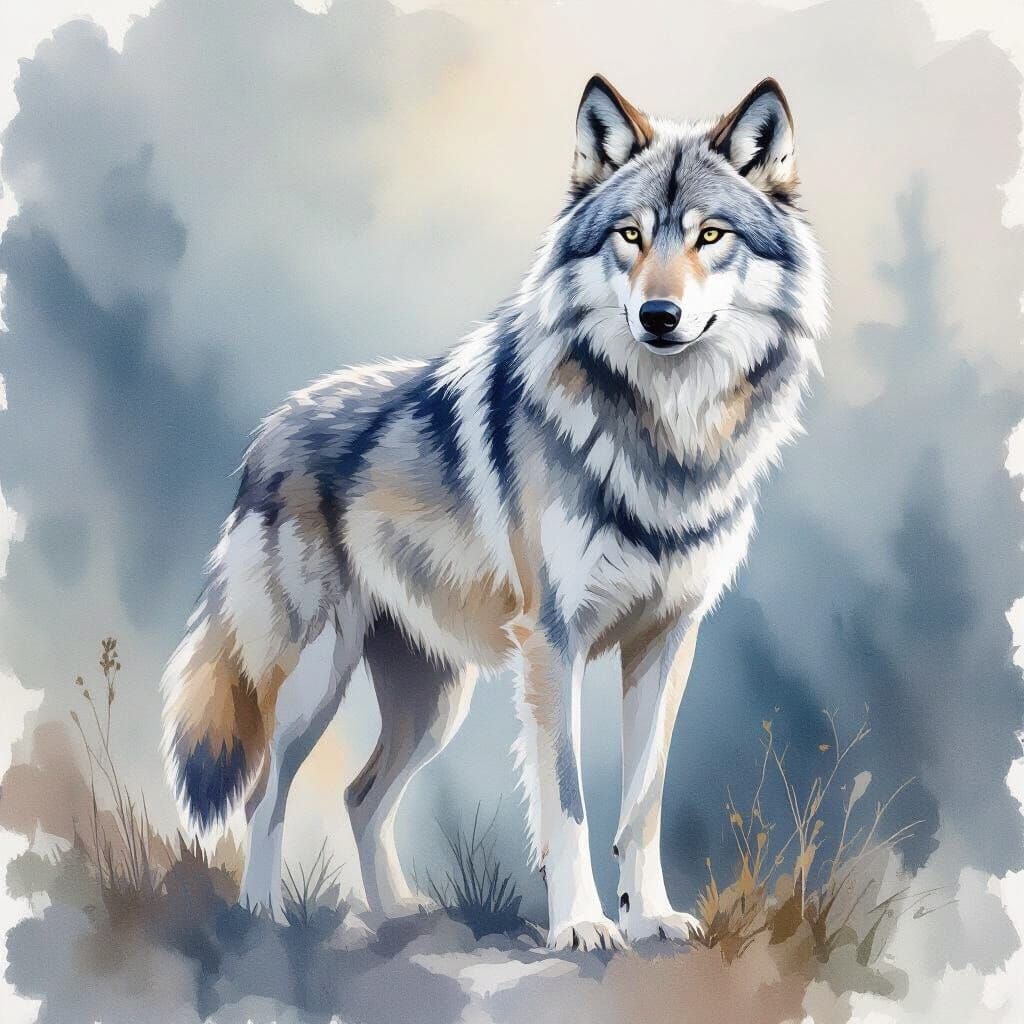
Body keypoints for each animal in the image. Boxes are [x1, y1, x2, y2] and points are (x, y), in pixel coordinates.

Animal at [162, 75, 826, 950]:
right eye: (629, 235)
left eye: (710, 235)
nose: (658, 316)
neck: (665, 437)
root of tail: (267, 432)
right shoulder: (553, 643)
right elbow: (568, 802)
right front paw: (582, 925)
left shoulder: (667, 640)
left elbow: (643, 802)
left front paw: (649, 915)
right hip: (317, 677)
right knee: (267, 790)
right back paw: (264, 918)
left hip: (435, 703)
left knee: (360, 796)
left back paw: (399, 914)